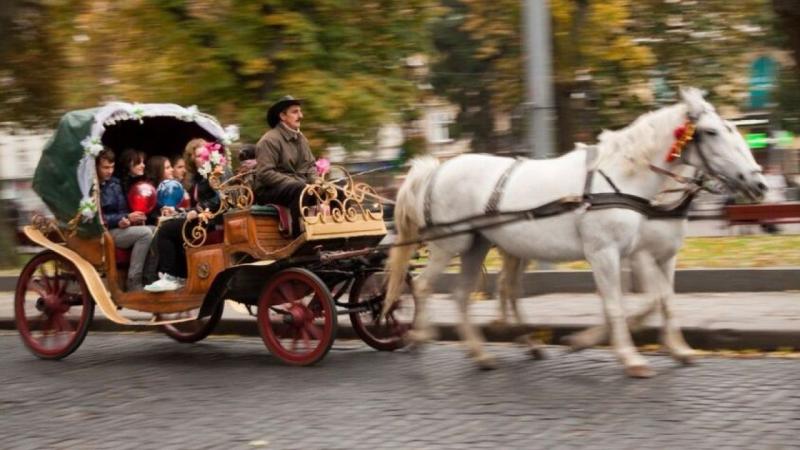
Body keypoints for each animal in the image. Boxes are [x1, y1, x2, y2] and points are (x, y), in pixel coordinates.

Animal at [384, 87, 764, 376]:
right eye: (712, 132)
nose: (758, 182)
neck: (621, 179)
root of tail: (437, 169)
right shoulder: (609, 253)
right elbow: (621, 304)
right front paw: (626, 356)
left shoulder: (648, 254)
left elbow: (661, 300)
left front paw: (677, 350)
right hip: (452, 243)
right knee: (424, 286)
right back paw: (420, 336)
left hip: (479, 245)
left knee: (467, 295)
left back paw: (483, 353)